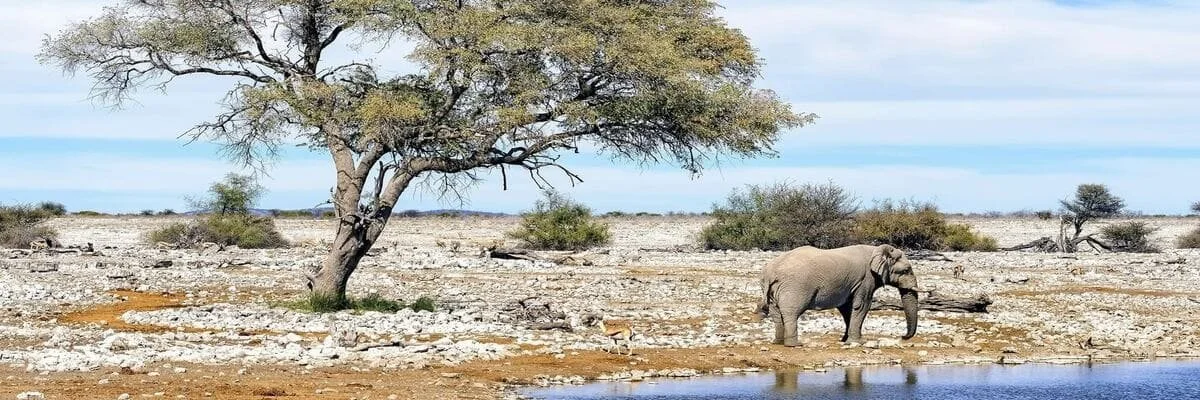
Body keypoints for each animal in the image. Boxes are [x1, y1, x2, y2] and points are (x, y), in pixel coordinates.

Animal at [758, 242, 916, 345]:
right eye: (906, 270)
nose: (903, 337)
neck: (876, 250)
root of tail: (770, 272)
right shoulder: (866, 279)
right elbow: (861, 306)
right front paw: (857, 342)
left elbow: (847, 309)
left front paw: (845, 340)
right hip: (795, 286)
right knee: (791, 312)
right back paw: (794, 345)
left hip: (773, 290)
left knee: (776, 314)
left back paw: (778, 342)